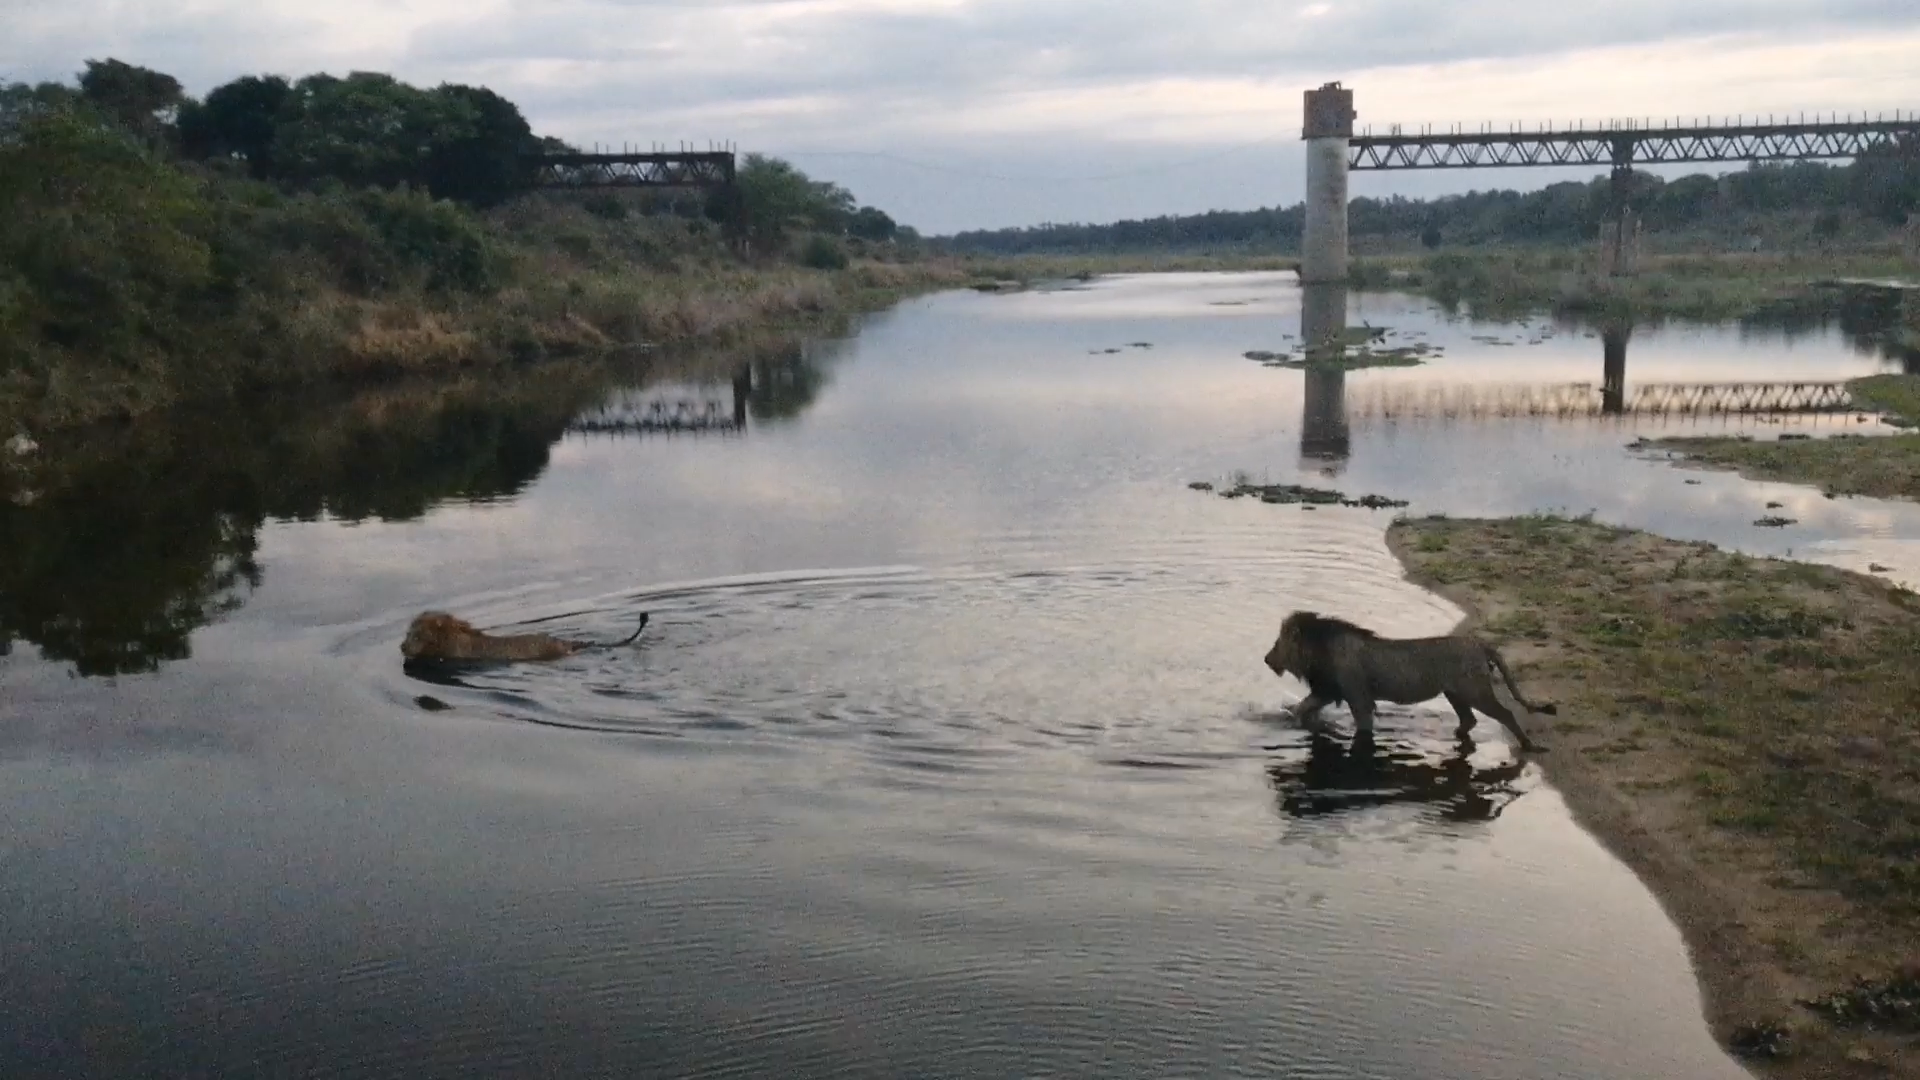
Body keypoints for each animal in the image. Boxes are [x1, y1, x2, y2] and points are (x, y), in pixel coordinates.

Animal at [1264, 610, 1555, 752]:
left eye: (1278, 642)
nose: (1266, 659)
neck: (1320, 650)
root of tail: (1481, 644)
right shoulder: (1327, 690)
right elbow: (1301, 708)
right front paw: (1292, 721)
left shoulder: (1358, 697)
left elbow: (1363, 727)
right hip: (1455, 693)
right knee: (1469, 720)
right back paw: (1454, 736)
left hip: (1475, 690)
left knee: (1505, 714)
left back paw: (1530, 746)